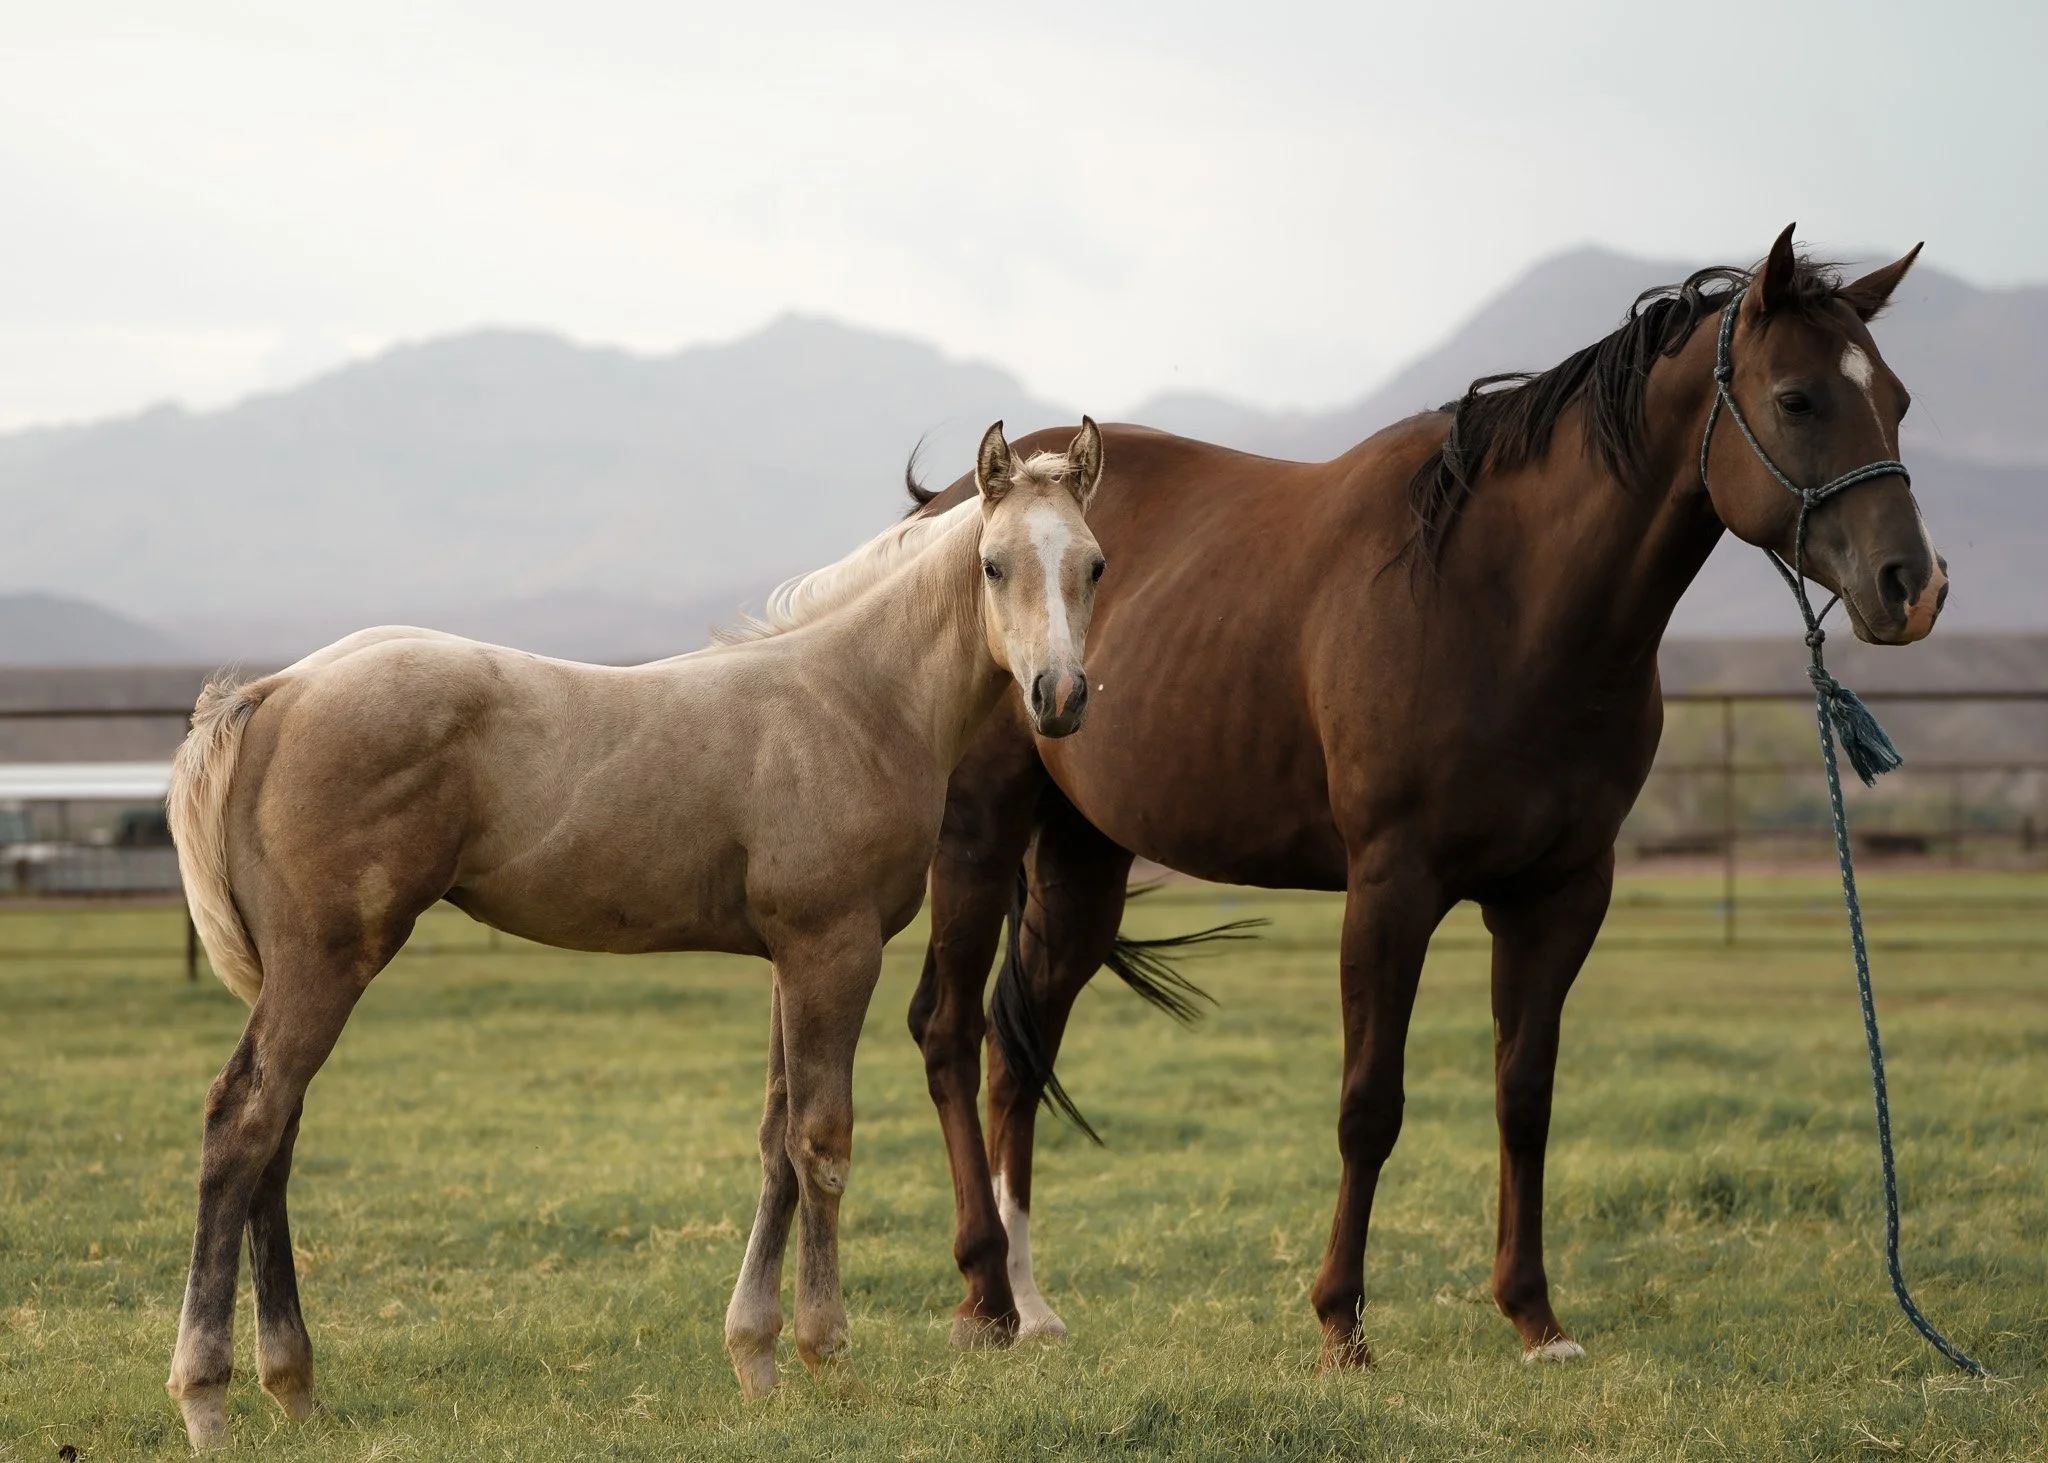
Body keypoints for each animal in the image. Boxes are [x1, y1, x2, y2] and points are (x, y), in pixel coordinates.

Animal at [161, 419, 1109, 1450]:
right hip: (327, 963)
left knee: (277, 1134)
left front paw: (756, 1360)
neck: (851, 700)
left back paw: (293, 1385)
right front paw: (831, 1357)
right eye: (993, 564)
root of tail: (277, 690)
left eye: (1093, 565)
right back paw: (206, 1399)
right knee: (243, 1120)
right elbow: (822, 1142)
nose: (1059, 696)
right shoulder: (836, 949)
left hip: (296, 972)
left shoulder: (790, 959)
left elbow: (775, 1138)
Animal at [904, 228, 1944, 1367]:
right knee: (947, 1030)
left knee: (1018, 1049)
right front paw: (1340, 1322)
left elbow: (1523, 1097)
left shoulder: (1559, 895)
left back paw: (1029, 1302)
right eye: (1797, 398)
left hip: (1081, 860)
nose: (1912, 585)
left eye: (1896, 397)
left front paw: (1535, 1318)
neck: (1500, 599)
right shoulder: (1390, 887)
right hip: (975, 835)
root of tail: (950, 509)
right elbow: (1371, 1104)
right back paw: (979, 1293)